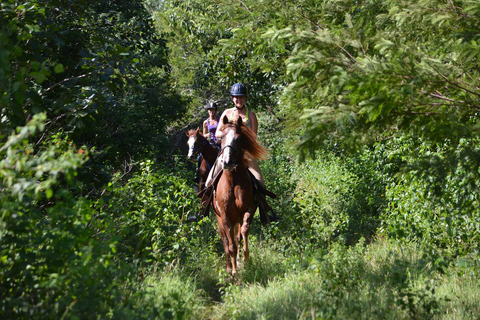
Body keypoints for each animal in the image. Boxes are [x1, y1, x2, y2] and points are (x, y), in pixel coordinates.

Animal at [215, 115, 270, 276]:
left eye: (239, 139)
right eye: (221, 137)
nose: (227, 162)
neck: (232, 183)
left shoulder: (248, 210)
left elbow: (244, 232)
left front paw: (246, 259)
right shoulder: (225, 217)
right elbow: (231, 244)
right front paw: (234, 270)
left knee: (237, 236)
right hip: (220, 220)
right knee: (226, 241)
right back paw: (229, 267)